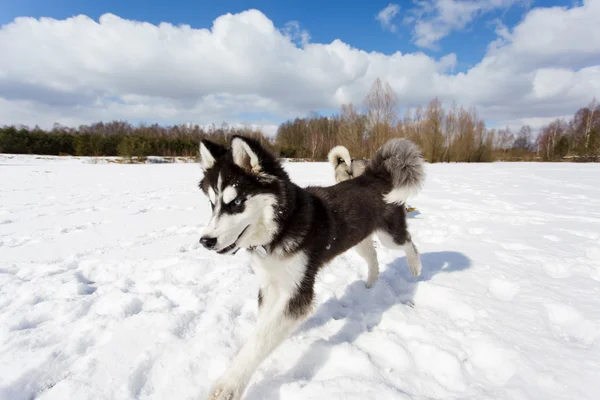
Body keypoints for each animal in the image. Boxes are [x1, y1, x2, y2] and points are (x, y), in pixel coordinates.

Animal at [199, 135, 424, 400]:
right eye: (211, 204)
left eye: (235, 202)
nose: (205, 241)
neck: (281, 228)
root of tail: (375, 175)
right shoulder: (270, 283)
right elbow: (265, 325)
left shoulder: (299, 290)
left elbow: (262, 337)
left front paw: (229, 384)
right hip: (358, 238)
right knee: (372, 256)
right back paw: (371, 283)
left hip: (390, 236)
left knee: (408, 242)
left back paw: (416, 267)